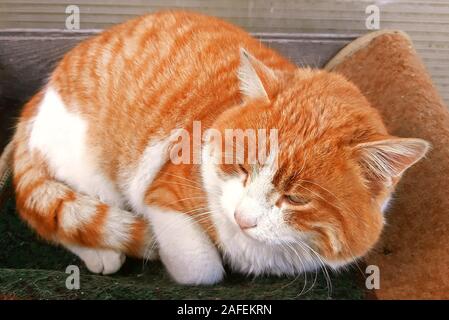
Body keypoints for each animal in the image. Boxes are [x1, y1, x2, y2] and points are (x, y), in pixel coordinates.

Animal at [12, 10, 428, 284]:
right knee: (55, 215)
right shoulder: (161, 191)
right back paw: (101, 252)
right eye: (241, 167)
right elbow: (201, 268)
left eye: (295, 199)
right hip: (89, 166)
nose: (243, 220)